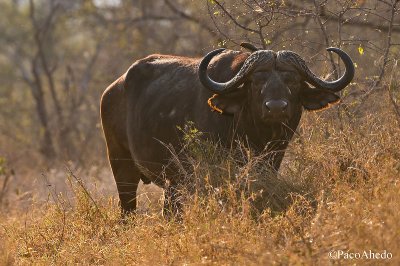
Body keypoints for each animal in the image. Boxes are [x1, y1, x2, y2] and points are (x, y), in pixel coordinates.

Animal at [100, 42, 354, 215]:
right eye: (257, 81)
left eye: (292, 80)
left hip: (171, 184)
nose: (276, 108)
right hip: (121, 166)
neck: (254, 134)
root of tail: (112, 89)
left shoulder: (272, 161)